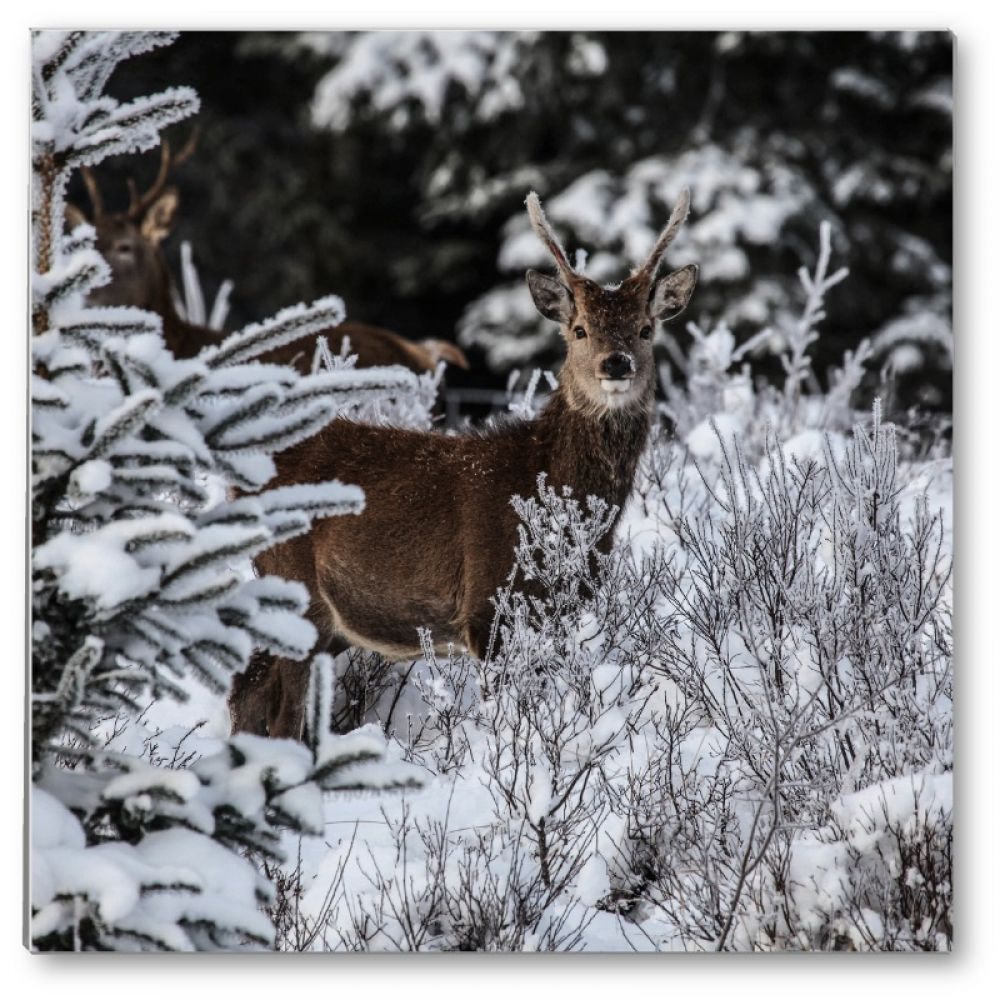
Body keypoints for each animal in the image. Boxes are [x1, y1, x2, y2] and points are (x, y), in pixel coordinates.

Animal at [228, 188, 700, 740]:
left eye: (646, 329)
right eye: (580, 330)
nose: (617, 363)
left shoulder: (565, 610)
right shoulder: (489, 608)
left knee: (249, 690)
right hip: (293, 587)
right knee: (276, 709)